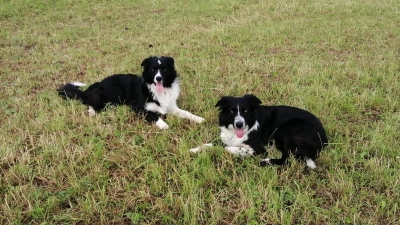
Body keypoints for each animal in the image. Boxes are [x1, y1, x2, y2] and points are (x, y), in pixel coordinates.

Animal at [57, 56, 205, 129]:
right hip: (113, 96)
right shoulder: (138, 108)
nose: (158, 78)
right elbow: (154, 115)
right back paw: (92, 112)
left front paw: (198, 119)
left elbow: (186, 113)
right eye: (153, 69)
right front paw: (164, 125)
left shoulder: (171, 107)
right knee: (90, 101)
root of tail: (98, 83)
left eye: (164, 69)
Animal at [191, 93, 328, 169]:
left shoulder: (258, 148)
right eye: (232, 111)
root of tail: (324, 138)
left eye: (245, 111)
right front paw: (193, 150)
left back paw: (265, 161)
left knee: (286, 160)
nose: (239, 124)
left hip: (286, 130)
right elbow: (210, 144)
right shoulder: (225, 138)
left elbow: (228, 148)